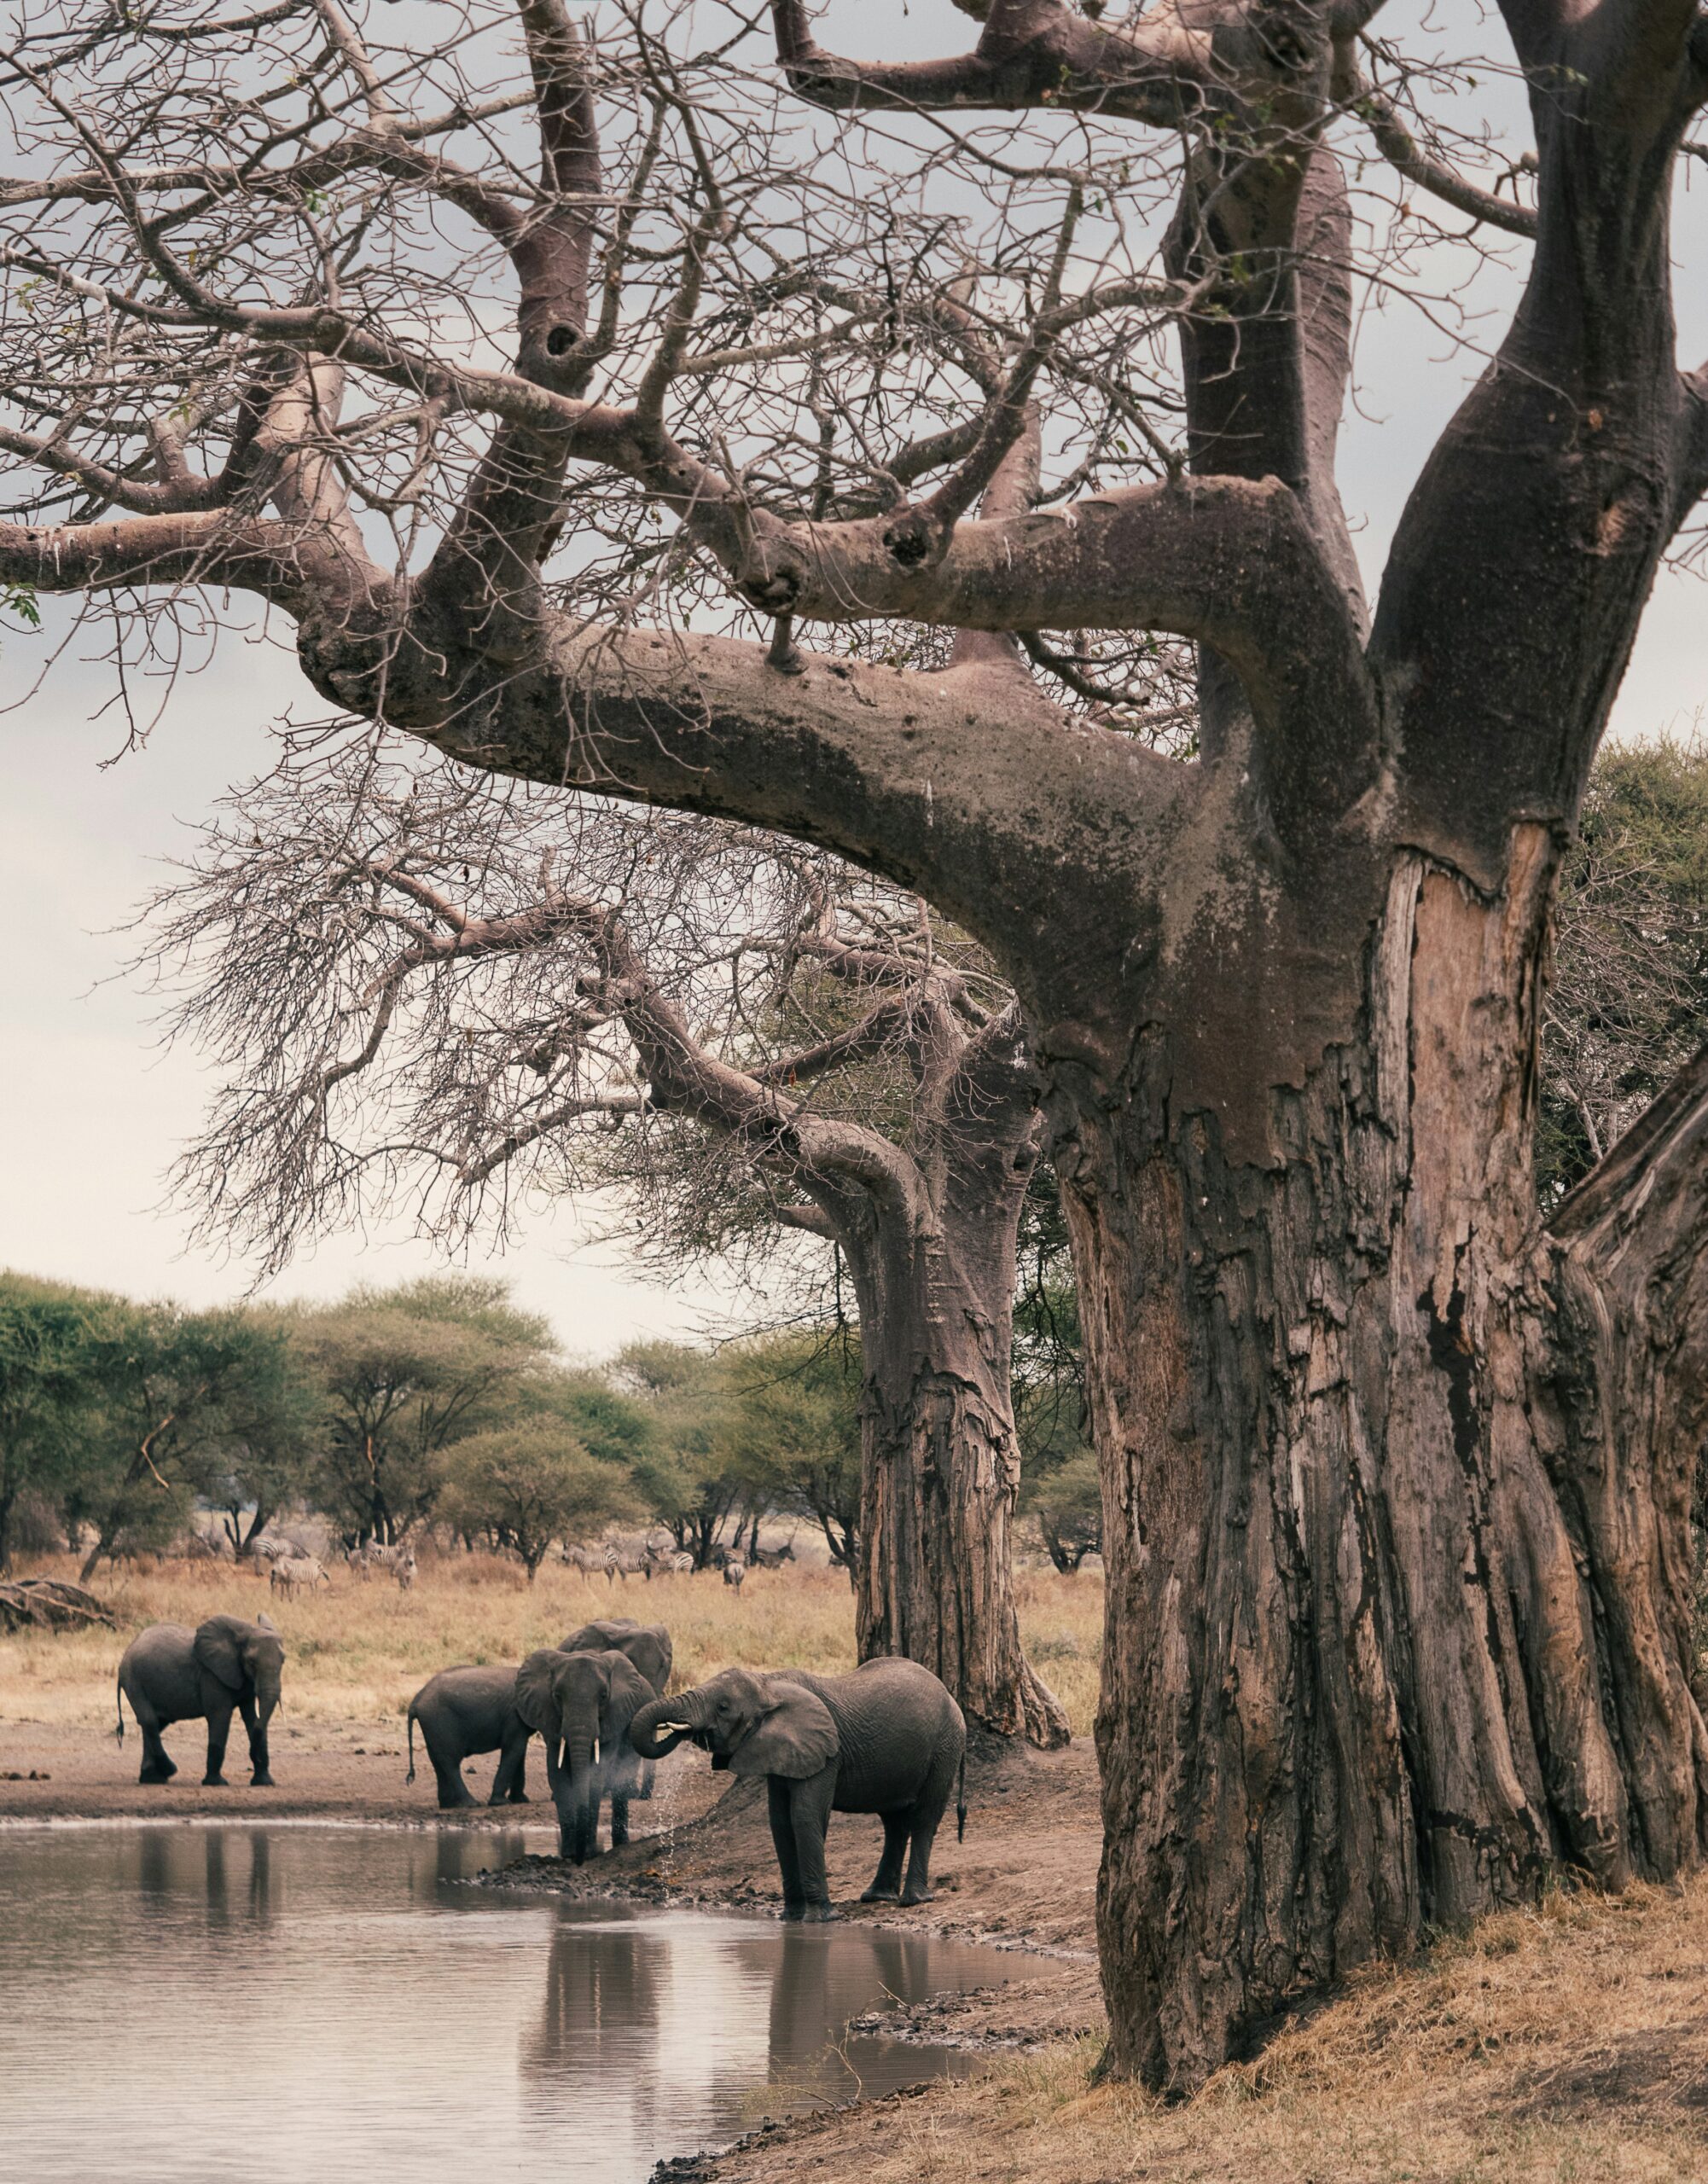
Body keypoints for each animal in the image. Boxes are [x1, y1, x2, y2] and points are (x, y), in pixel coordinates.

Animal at [116, 1614, 285, 1787]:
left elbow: (252, 1719)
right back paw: (168, 1772)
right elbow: (220, 1716)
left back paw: (153, 1779)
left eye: (283, 1660)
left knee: (156, 1724)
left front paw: (265, 1782)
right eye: (251, 1662)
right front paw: (216, 1783)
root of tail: (128, 1651)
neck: (245, 1633)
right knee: (150, 1721)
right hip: (133, 1679)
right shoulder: (211, 1674)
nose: (253, 1755)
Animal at [405, 1664, 533, 1809]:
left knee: (437, 1762)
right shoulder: (514, 1715)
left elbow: (520, 1751)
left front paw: (521, 1800)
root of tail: (416, 1700)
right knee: (450, 1762)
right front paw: (501, 1803)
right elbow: (515, 1749)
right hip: (439, 1720)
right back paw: (471, 1804)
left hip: (432, 1724)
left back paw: (448, 1805)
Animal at [513, 1646, 658, 1863]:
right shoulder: (550, 1720)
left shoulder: (613, 1719)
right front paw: (568, 1854)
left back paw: (621, 1844)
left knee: (622, 1782)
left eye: (604, 1696)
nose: (579, 1860)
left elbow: (596, 1775)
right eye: (557, 1696)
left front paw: (589, 1854)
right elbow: (557, 1775)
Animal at [628, 1658, 966, 1921]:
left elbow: (804, 1818)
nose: (678, 1729)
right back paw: (876, 1897)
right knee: (893, 1823)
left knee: (924, 1818)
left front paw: (822, 1918)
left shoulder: (826, 1754)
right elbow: (780, 1823)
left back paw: (916, 1899)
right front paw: (790, 1917)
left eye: (723, 1707)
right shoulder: (780, 1753)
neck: (768, 1683)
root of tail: (950, 1696)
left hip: (946, 1745)